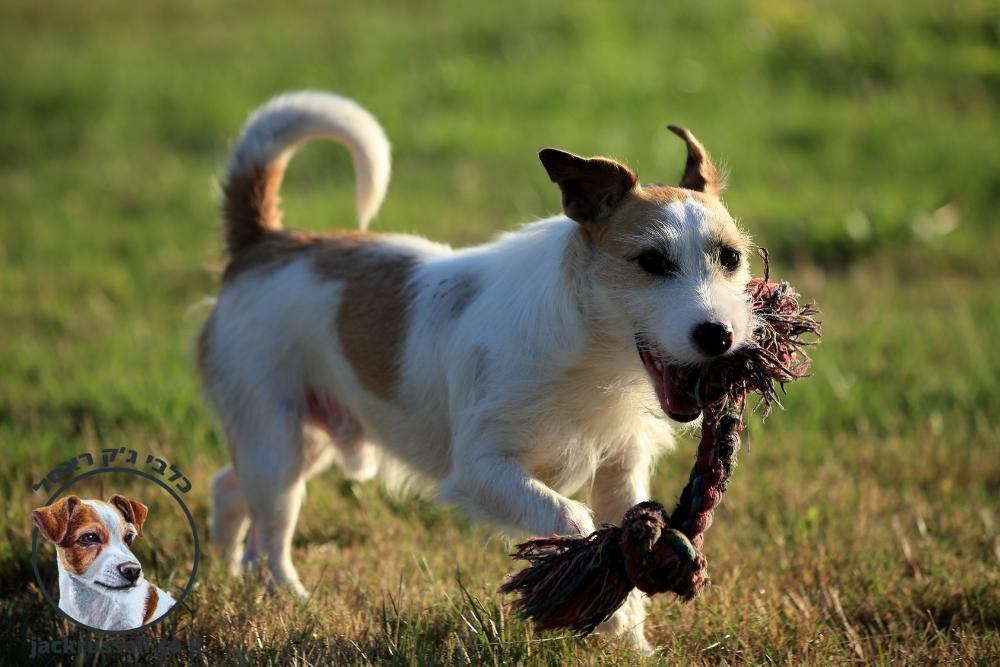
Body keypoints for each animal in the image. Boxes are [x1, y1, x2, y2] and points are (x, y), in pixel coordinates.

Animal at [201, 90, 752, 652]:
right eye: (652, 262)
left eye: (731, 259)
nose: (719, 335)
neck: (590, 351)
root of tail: (264, 242)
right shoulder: (482, 467)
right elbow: (574, 519)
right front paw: (600, 602)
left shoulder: (620, 468)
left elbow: (625, 539)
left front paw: (630, 642)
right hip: (277, 443)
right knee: (272, 528)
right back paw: (289, 594)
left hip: (309, 437)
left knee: (229, 488)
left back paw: (231, 572)